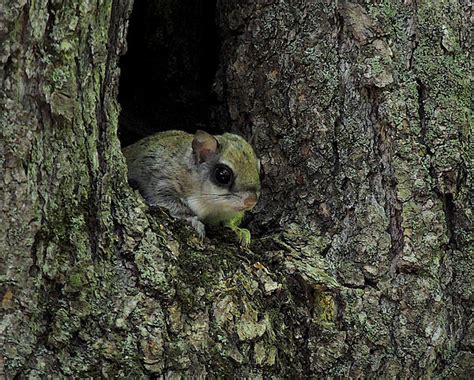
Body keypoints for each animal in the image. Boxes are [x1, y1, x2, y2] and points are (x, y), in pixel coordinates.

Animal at [122, 129, 262, 245]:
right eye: (223, 175)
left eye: (261, 171)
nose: (251, 201)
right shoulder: (161, 182)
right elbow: (168, 201)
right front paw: (192, 219)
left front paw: (239, 230)